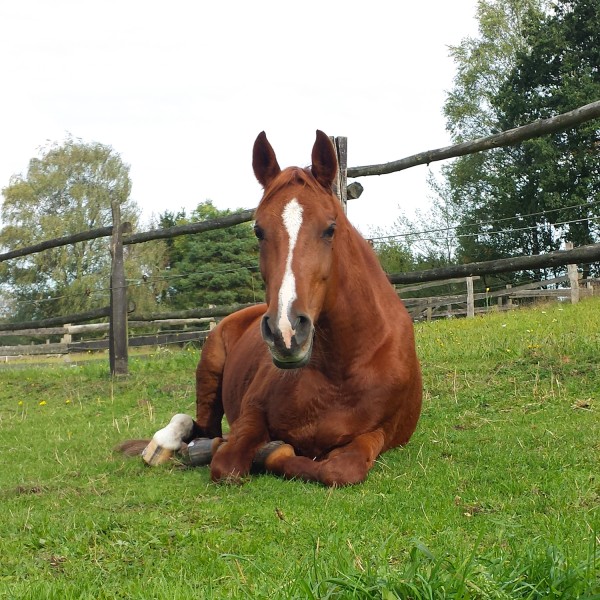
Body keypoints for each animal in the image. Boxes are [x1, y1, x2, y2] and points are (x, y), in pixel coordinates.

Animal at [119, 131, 422, 488]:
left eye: (330, 228)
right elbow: (227, 463)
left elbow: (340, 470)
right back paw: (163, 446)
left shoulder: (378, 434)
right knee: (199, 427)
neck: (341, 369)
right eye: (258, 230)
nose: (286, 333)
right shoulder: (252, 415)